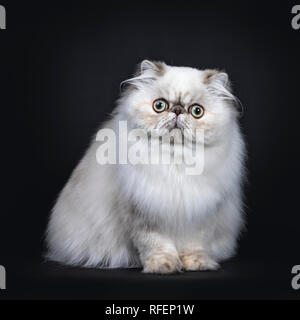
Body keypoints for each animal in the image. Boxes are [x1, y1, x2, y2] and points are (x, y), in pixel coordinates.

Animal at [45, 61, 245, 274]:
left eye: (197, 111)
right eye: (160, 106)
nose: (177, 110)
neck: (175, 161)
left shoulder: (203, 214)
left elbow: (194, 245)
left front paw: (197, 264)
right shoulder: (142, 212)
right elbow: (156, 245)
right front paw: (164, 266)